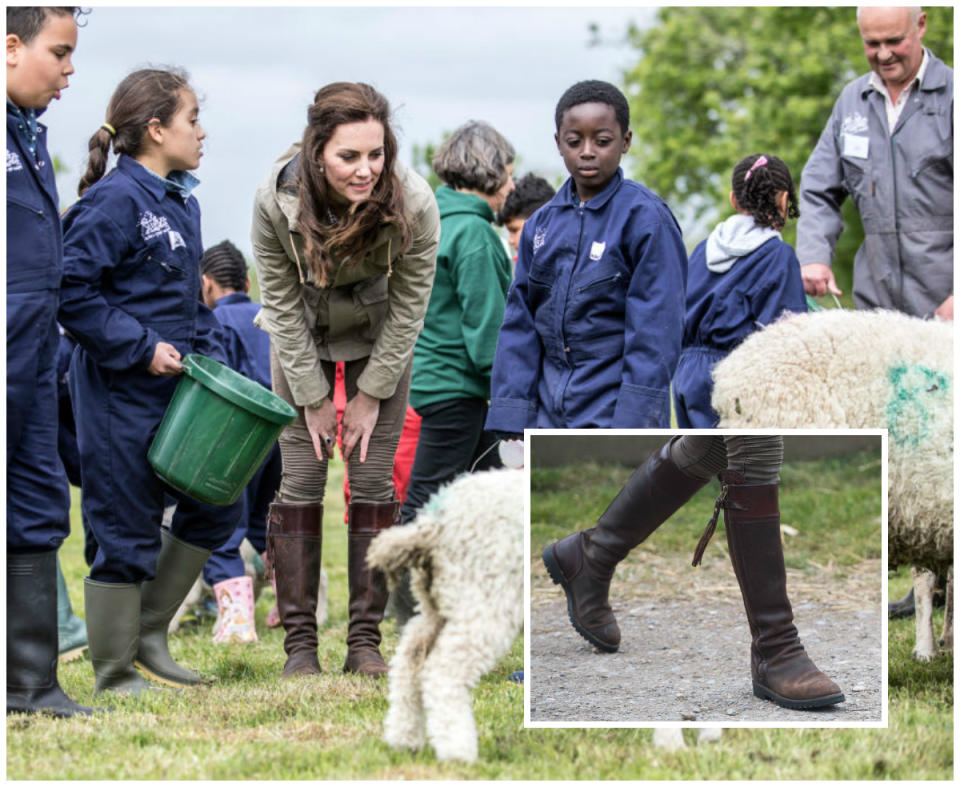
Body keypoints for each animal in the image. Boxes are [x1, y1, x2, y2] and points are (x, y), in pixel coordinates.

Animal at [366, 468, 520, 764]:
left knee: (411, 659)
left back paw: (404, 738)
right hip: (485, 600)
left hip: (438, 602)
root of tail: (435, 524)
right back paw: (458, 750)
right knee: (443, 670)